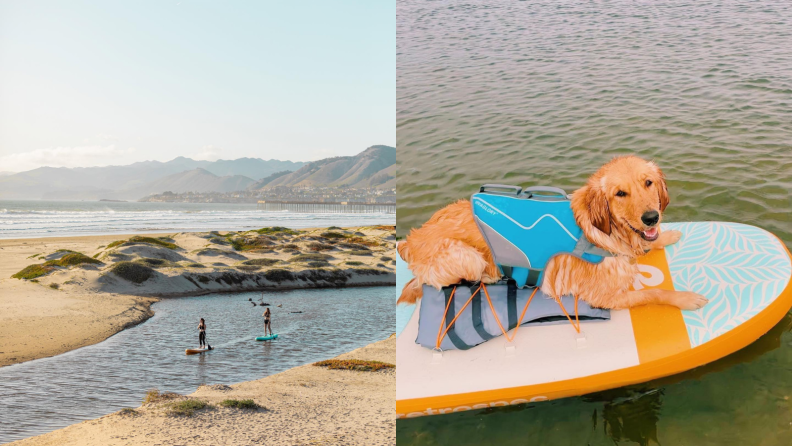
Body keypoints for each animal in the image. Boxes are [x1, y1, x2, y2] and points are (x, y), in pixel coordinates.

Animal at [400, 156, 708, 310]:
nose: (651, 217)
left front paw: (667, 236)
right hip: (467, 256)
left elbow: (646, 245)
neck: (603, 232)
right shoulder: (604, 298)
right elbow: (652, 293)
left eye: (648, 183)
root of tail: (409, 241)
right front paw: (684, 298)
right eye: (620, 193)